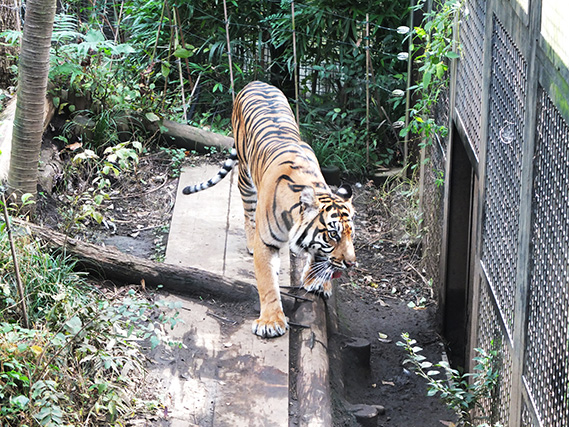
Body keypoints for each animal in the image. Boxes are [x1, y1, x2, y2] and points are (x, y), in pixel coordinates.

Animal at [182, 82, 352, 340]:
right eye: (333, 234)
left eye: (351, 235)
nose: (351, 263)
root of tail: (255, 83)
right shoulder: (267, 244)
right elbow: (267, 282)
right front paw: (271, 322)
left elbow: (320, 256)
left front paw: (316, 280)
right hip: (245, 178)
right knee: (248, 214)